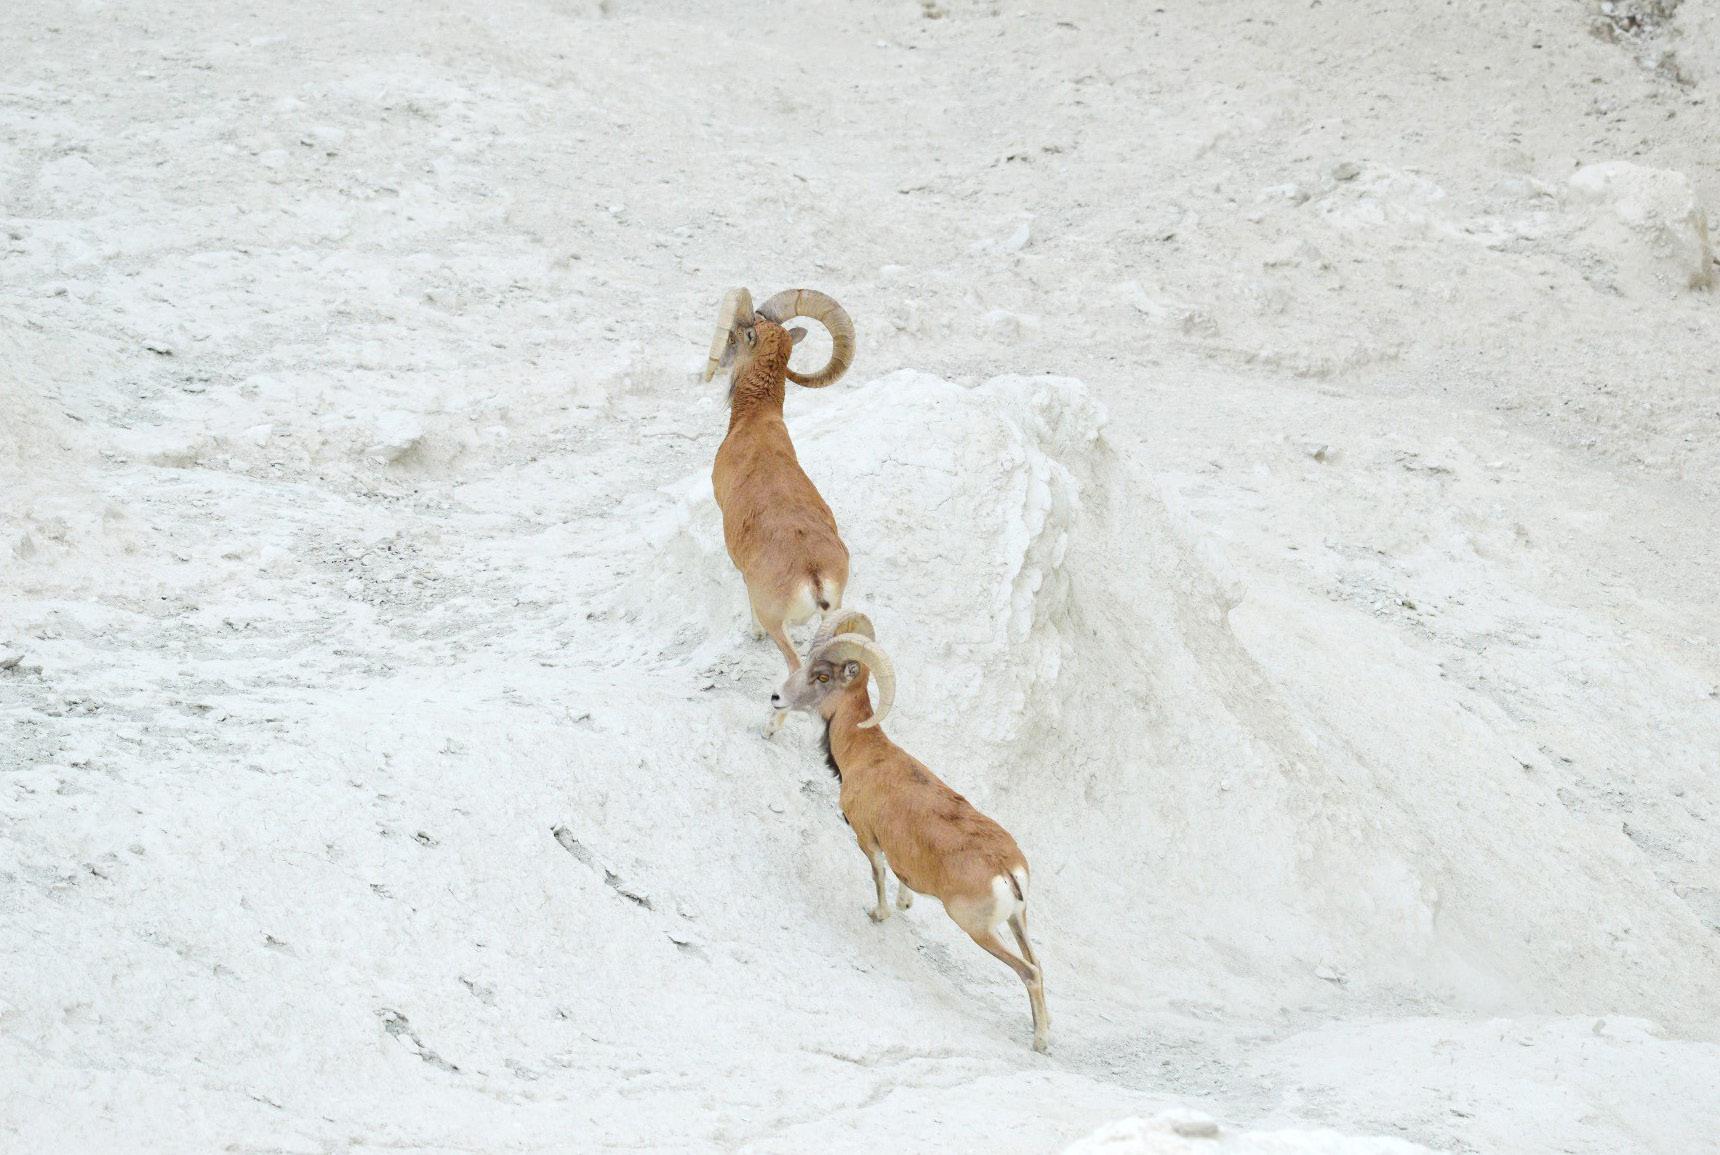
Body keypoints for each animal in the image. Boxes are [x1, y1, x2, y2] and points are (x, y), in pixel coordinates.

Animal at [777, 611, 1045, 1058]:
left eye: (822, 676)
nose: (776, 698)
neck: (865, 754)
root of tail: (1006, 870)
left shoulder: (866, 839)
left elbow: (878, 874)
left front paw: (879, 914)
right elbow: (901, 876)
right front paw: (904, 905)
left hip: (977, 930)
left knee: (1029, 972)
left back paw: (1041, 1041)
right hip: (1017, 921)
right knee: (1038, 963)